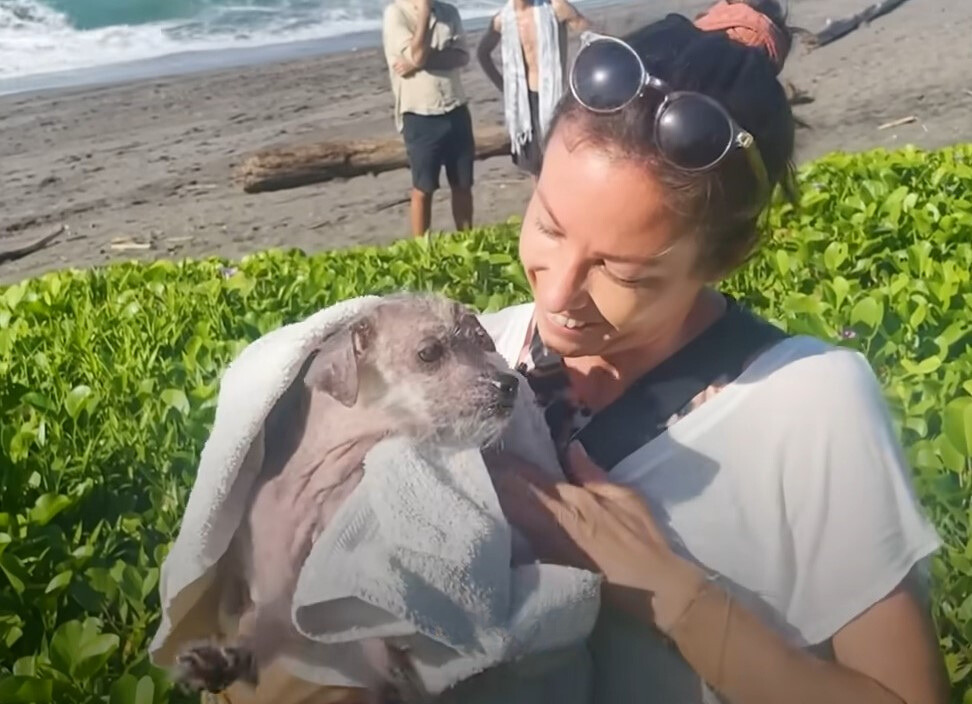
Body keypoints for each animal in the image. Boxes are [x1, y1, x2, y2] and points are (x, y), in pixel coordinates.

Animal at [146, 292, 600, 700]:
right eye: (429, 352)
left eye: (483, 341)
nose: (509, 384)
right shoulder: (275, 588)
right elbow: (262, 625)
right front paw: (222, 659)